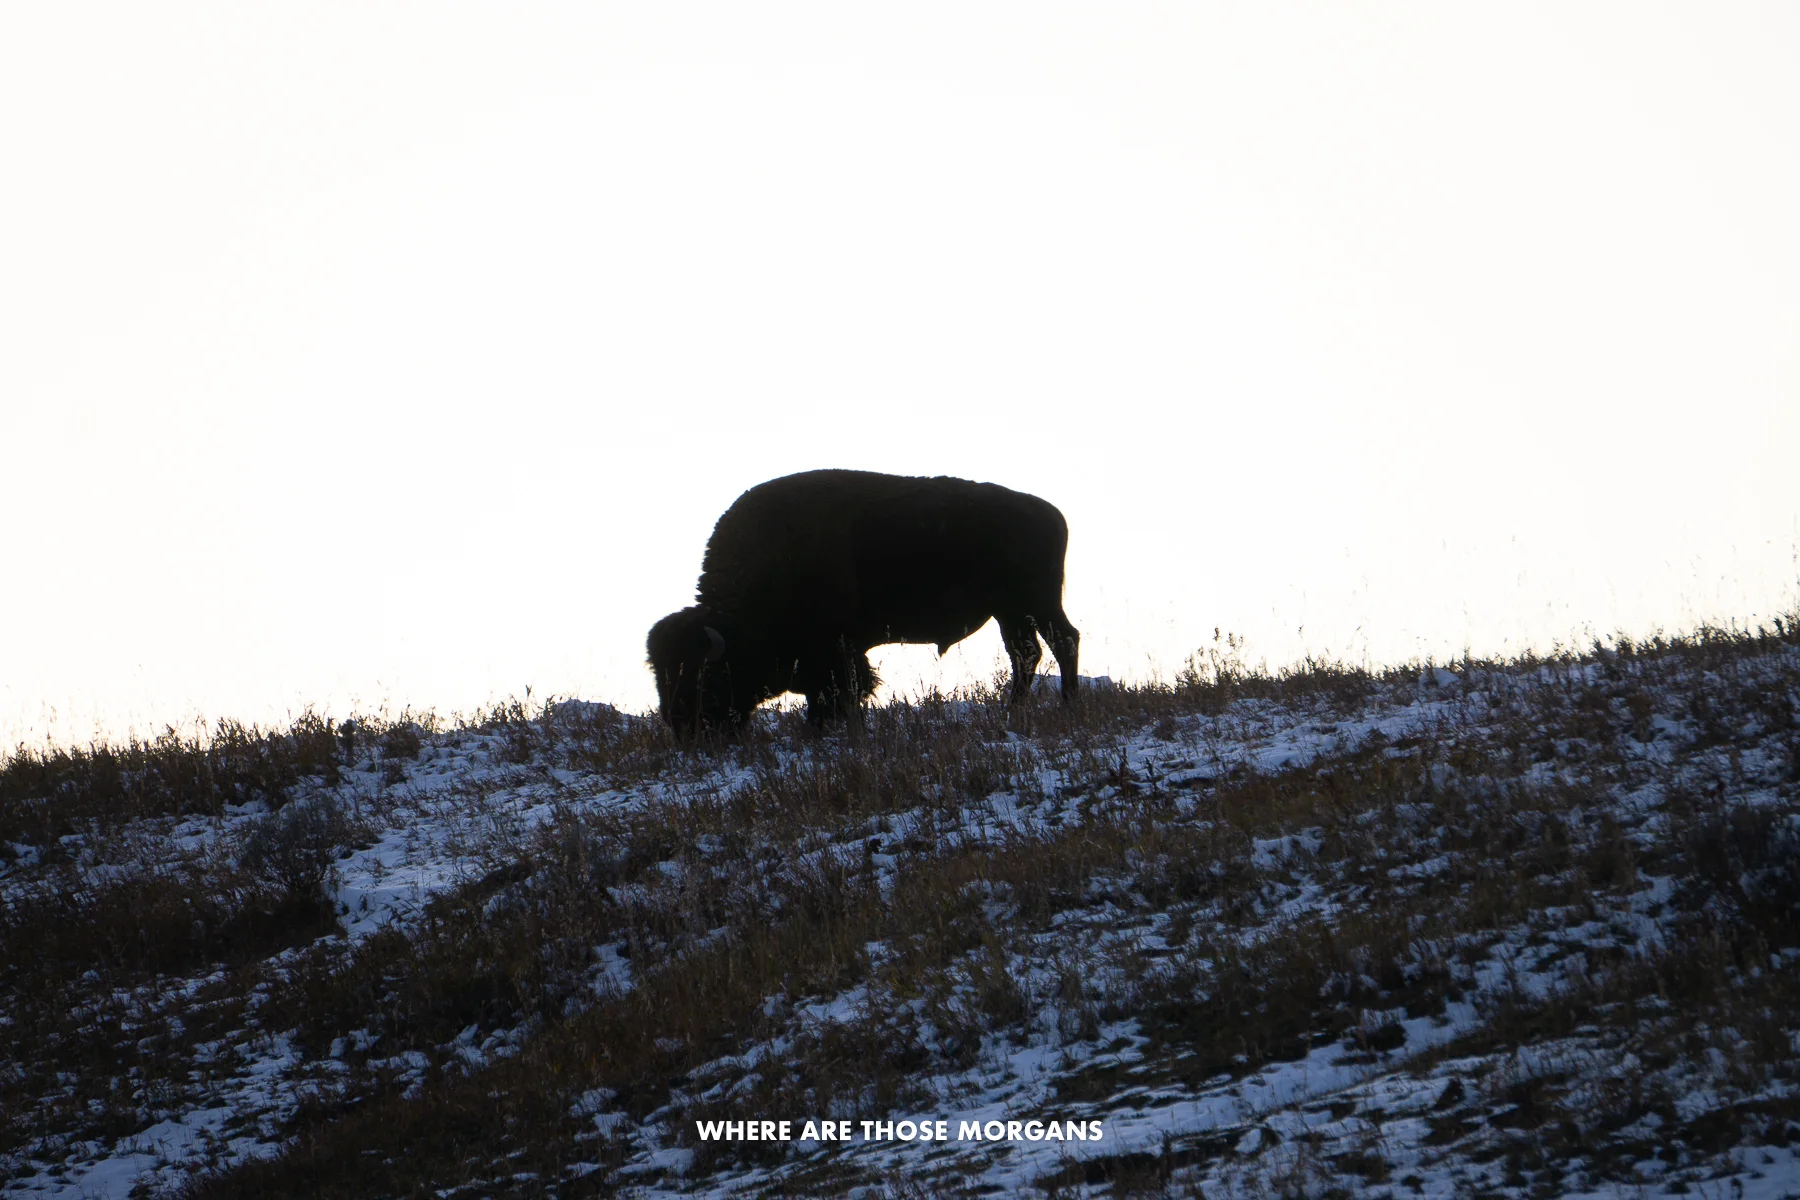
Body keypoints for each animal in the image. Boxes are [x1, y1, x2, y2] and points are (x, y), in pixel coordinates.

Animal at [647, 469, 1080, 732]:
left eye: (703, 675)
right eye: (658, 673)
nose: (682, 726)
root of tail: (1050, 513)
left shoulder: (835, 651)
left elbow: (841, 689)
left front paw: (823, 725)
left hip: (1037, 603)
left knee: (1063, 641)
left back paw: (1067, 703)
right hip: (1010, 612)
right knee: (1026, 653)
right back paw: (1013, 709)